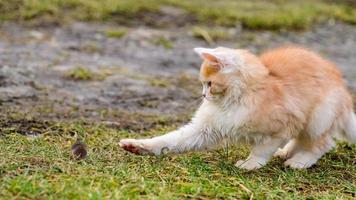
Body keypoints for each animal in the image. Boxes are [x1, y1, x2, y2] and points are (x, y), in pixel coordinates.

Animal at [119, 46, 354, 170]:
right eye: (203, 85)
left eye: (209, 84)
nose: (203, 95)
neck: (233, 101)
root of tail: (343, 90)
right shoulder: (203, 129)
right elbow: (168, 141)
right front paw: (137, 146)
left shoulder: (282, 126)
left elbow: (261, 150)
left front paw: (250, 165)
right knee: (302, 140)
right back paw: (286, 153)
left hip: (318, 117)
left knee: (323, 144)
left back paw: (299, 161)